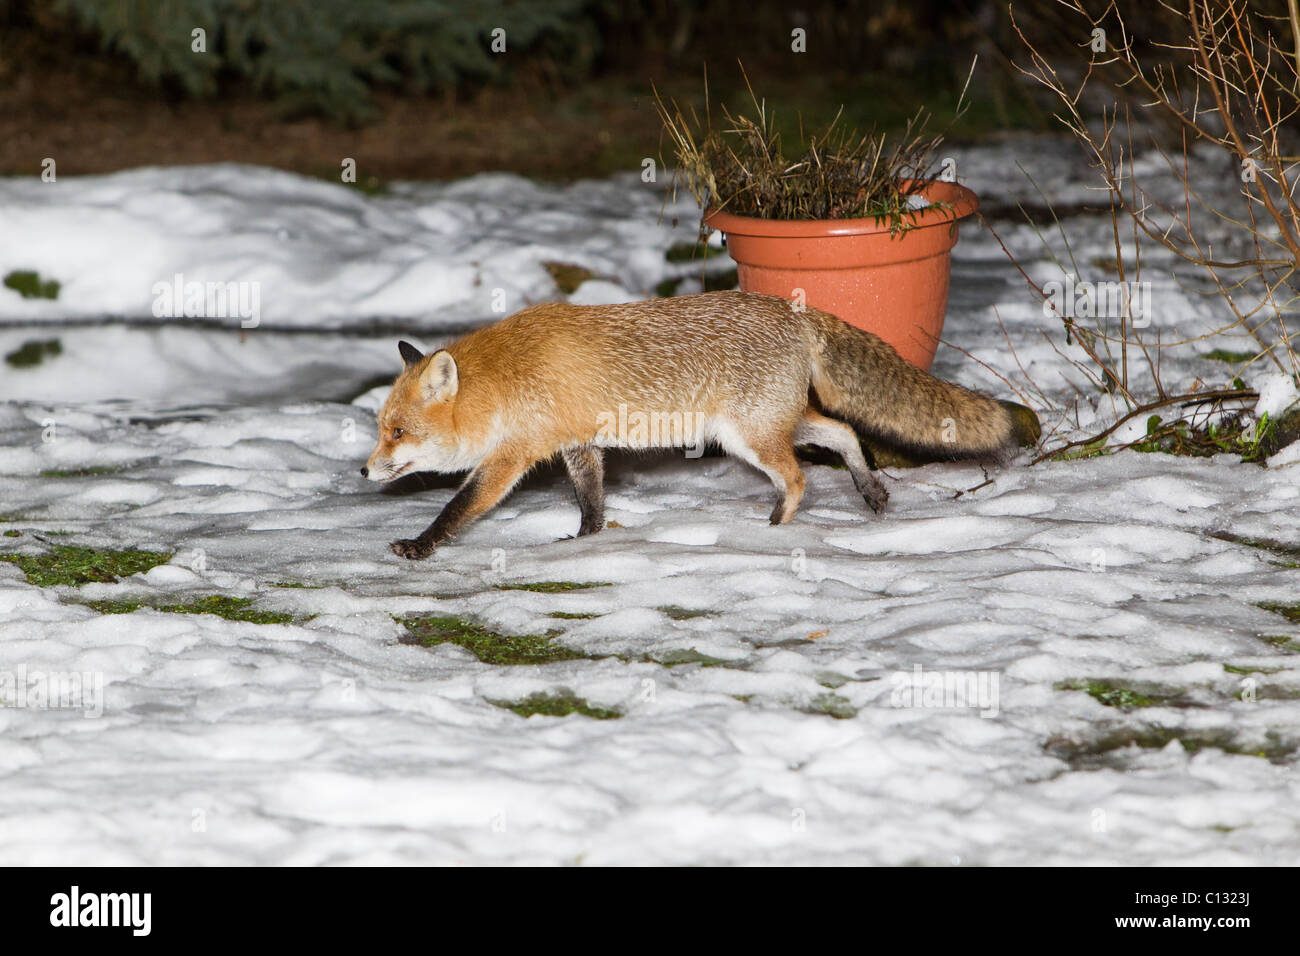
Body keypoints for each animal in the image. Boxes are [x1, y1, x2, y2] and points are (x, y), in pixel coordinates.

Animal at [364, 291, 1024, 561]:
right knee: (845, 434)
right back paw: (870, 491)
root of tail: (794, 310)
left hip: (749, 439)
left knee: (799, 478)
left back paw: (775, 529)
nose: (364, 470)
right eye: (379, 428)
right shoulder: (579, 443)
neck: (503, 379)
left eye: (396, 433)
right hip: (774, 425)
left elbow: (459, 506)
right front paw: (586, 542)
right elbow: (591, 500)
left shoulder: (513, 455)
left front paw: (419, 546)